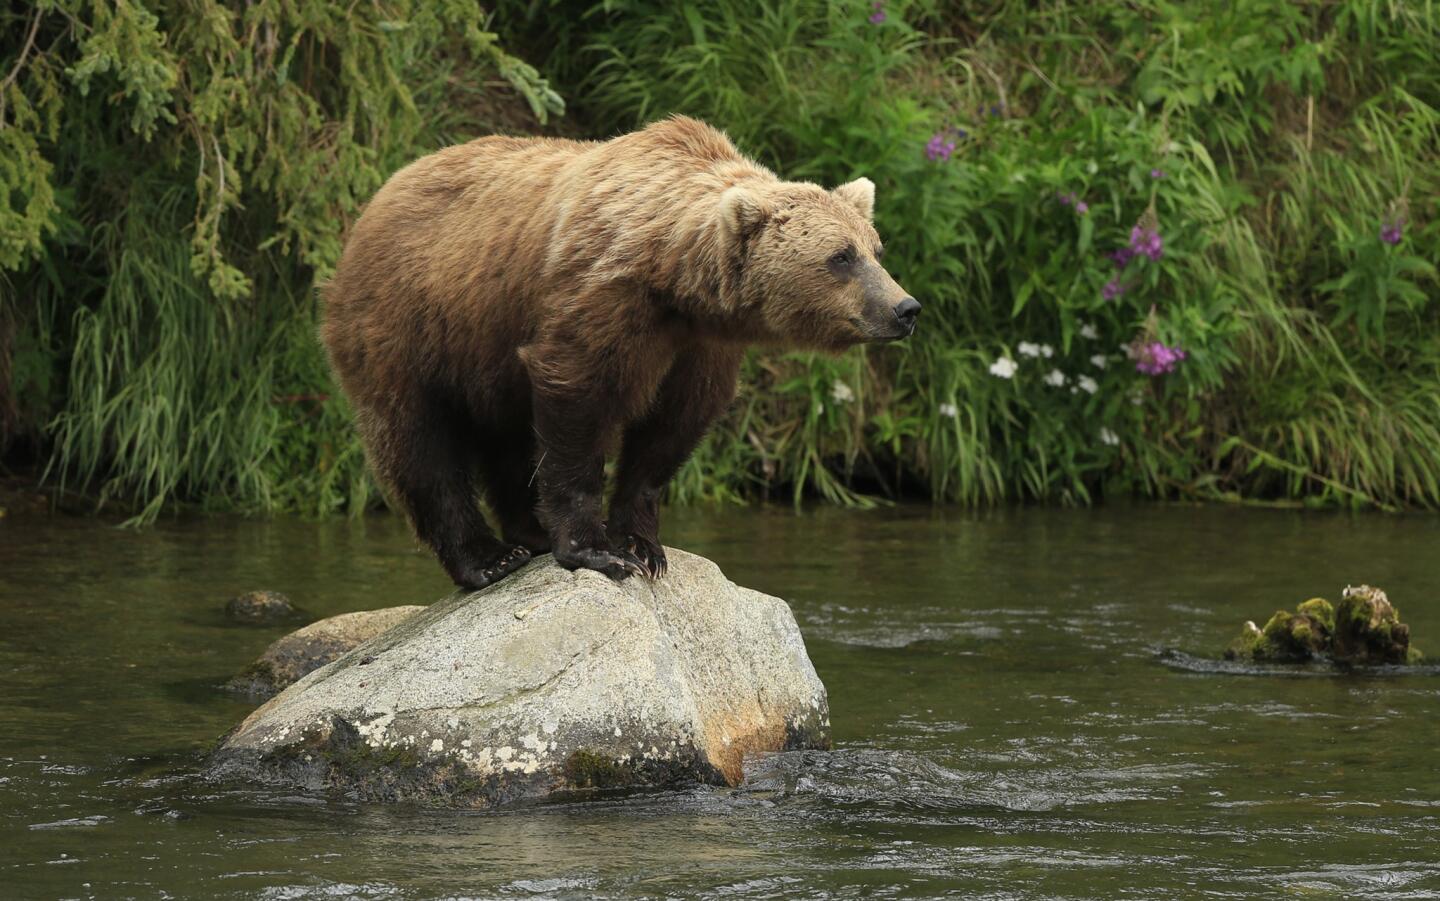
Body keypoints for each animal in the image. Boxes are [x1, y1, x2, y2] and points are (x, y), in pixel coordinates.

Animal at [321, 113, 915, 590]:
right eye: (840, 256)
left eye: (876, 249)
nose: (906, 308)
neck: (675, 279)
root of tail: (377, 197)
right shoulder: (601, 300)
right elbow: (577, 404)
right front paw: (596, 550)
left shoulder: (702, 344)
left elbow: (672, 429)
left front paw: (641, 544)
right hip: (408, 324)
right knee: (418, 444)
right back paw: (488, 558)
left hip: (484, 355)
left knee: (506, 440)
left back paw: (529, 531)